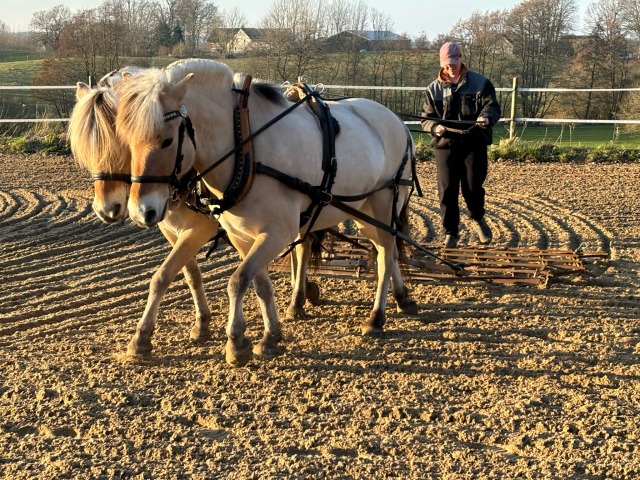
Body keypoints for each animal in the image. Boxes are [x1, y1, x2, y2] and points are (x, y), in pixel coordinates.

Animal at [67, 70, 322, 356]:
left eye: (119, 141)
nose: (106, 210)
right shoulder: (170, 229)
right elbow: (188, 274)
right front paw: (201, 324)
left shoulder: (200, 228)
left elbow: (164, 275)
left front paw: (143, 337)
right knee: (300, 244)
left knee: (304, 247)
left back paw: (297, 299)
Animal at [115, 58, 420, 366]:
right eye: (127, 140)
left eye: (166, 140)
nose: (141, 212)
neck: (246, 144)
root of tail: (398, 121)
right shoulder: (242, 236)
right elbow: (259, 283)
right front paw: (271, 336)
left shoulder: (277, 234)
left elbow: (237, 281)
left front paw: (236, 342)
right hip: (362, 211)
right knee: (384, 251)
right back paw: (400, 299)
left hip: (385, 204)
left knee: (385, 255)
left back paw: (376, 317)